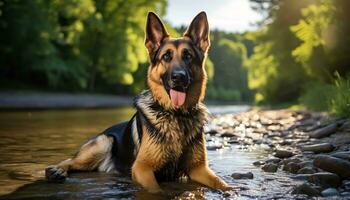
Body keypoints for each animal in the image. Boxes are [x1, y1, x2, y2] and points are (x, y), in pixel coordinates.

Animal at [45, 11, 231, 193]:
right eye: (166, 56)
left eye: (188, 56)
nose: (178, 77)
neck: (176, 115)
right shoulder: (142, 168)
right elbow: (156, 191)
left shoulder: (199, 169)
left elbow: (221, 183)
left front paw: (230, 190)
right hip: (104, 143)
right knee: (70, 160)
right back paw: (57, 170)